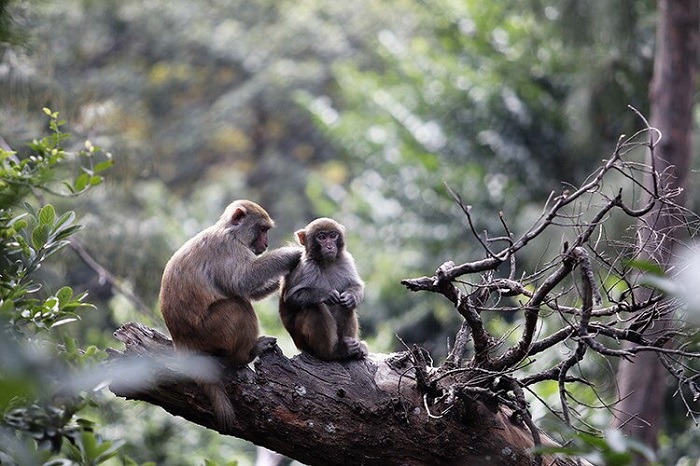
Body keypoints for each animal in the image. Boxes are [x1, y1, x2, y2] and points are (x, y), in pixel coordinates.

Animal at [160, 200, 302, 430]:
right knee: (237, 306)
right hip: (210, 331)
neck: (231, 232)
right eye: (262, 229)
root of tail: (182, 342)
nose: (266, 243)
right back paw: (244, 355)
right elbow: (243, 280)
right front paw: (292, 255)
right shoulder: (228, 249)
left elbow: (249, 289)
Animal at [278, 217, 370, 362]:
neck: (326, 262)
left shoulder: (346, 260)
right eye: (321, 237)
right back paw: (333, 353)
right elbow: (290, 299)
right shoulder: (305, 268)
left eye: (333, 236)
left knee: (346, 306)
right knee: (313, 307)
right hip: (303, 342)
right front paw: (326, 294)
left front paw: (351, 297)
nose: (330, 246)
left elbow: (356, 286)